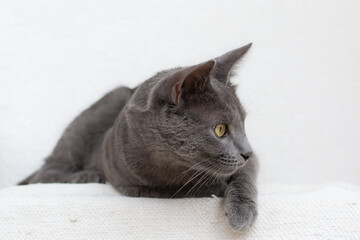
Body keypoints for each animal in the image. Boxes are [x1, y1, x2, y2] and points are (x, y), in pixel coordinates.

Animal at [19, 43, 258, 232]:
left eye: (243, 124)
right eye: (220, 129)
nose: (247, 152)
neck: (174, 166)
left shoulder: (250, 164)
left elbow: (245, 177)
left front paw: (242, 212)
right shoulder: (127, 179)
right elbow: (171, 190)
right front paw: (215, 187)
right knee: (45, 172)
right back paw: (86, 175)